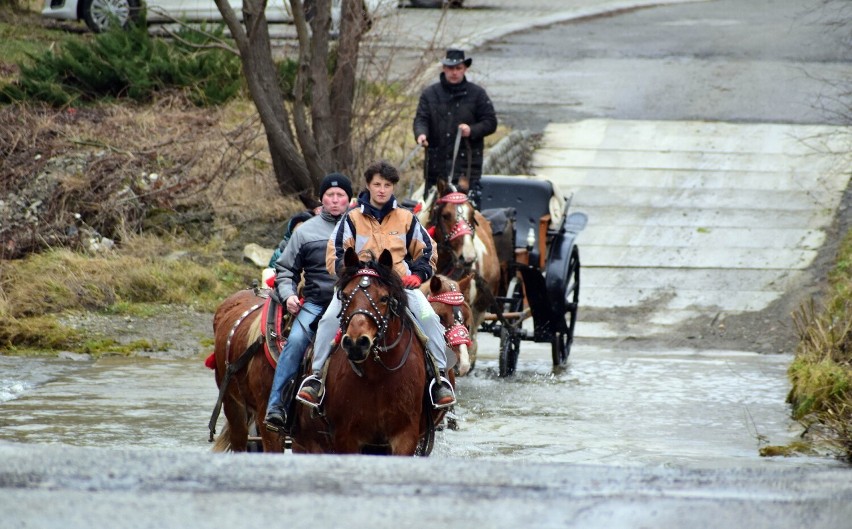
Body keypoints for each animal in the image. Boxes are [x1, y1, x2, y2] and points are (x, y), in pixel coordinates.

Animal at [292, 248, 440, 454]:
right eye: (345, 296)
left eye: (384, 298)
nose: (356, 343)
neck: (377, 376)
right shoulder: (345, 437)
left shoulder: (405, 435)